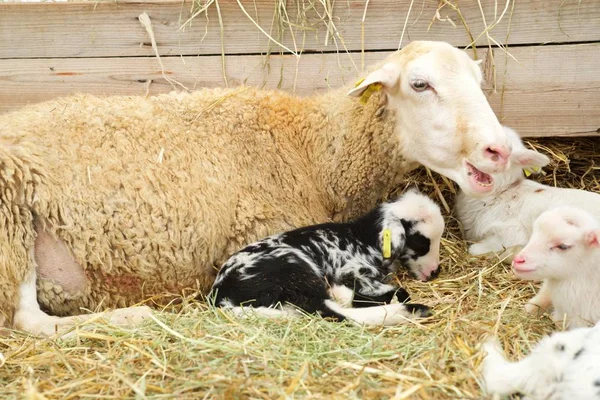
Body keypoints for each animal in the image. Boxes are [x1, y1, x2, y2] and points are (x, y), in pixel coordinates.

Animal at [209, 190, 442, 324]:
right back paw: (414, 311)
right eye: (421, 242)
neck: (362, 237)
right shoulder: (351, 271)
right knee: (330, 310)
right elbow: (398, 292)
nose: (435, 272)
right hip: (293, 269)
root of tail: (221, 295)